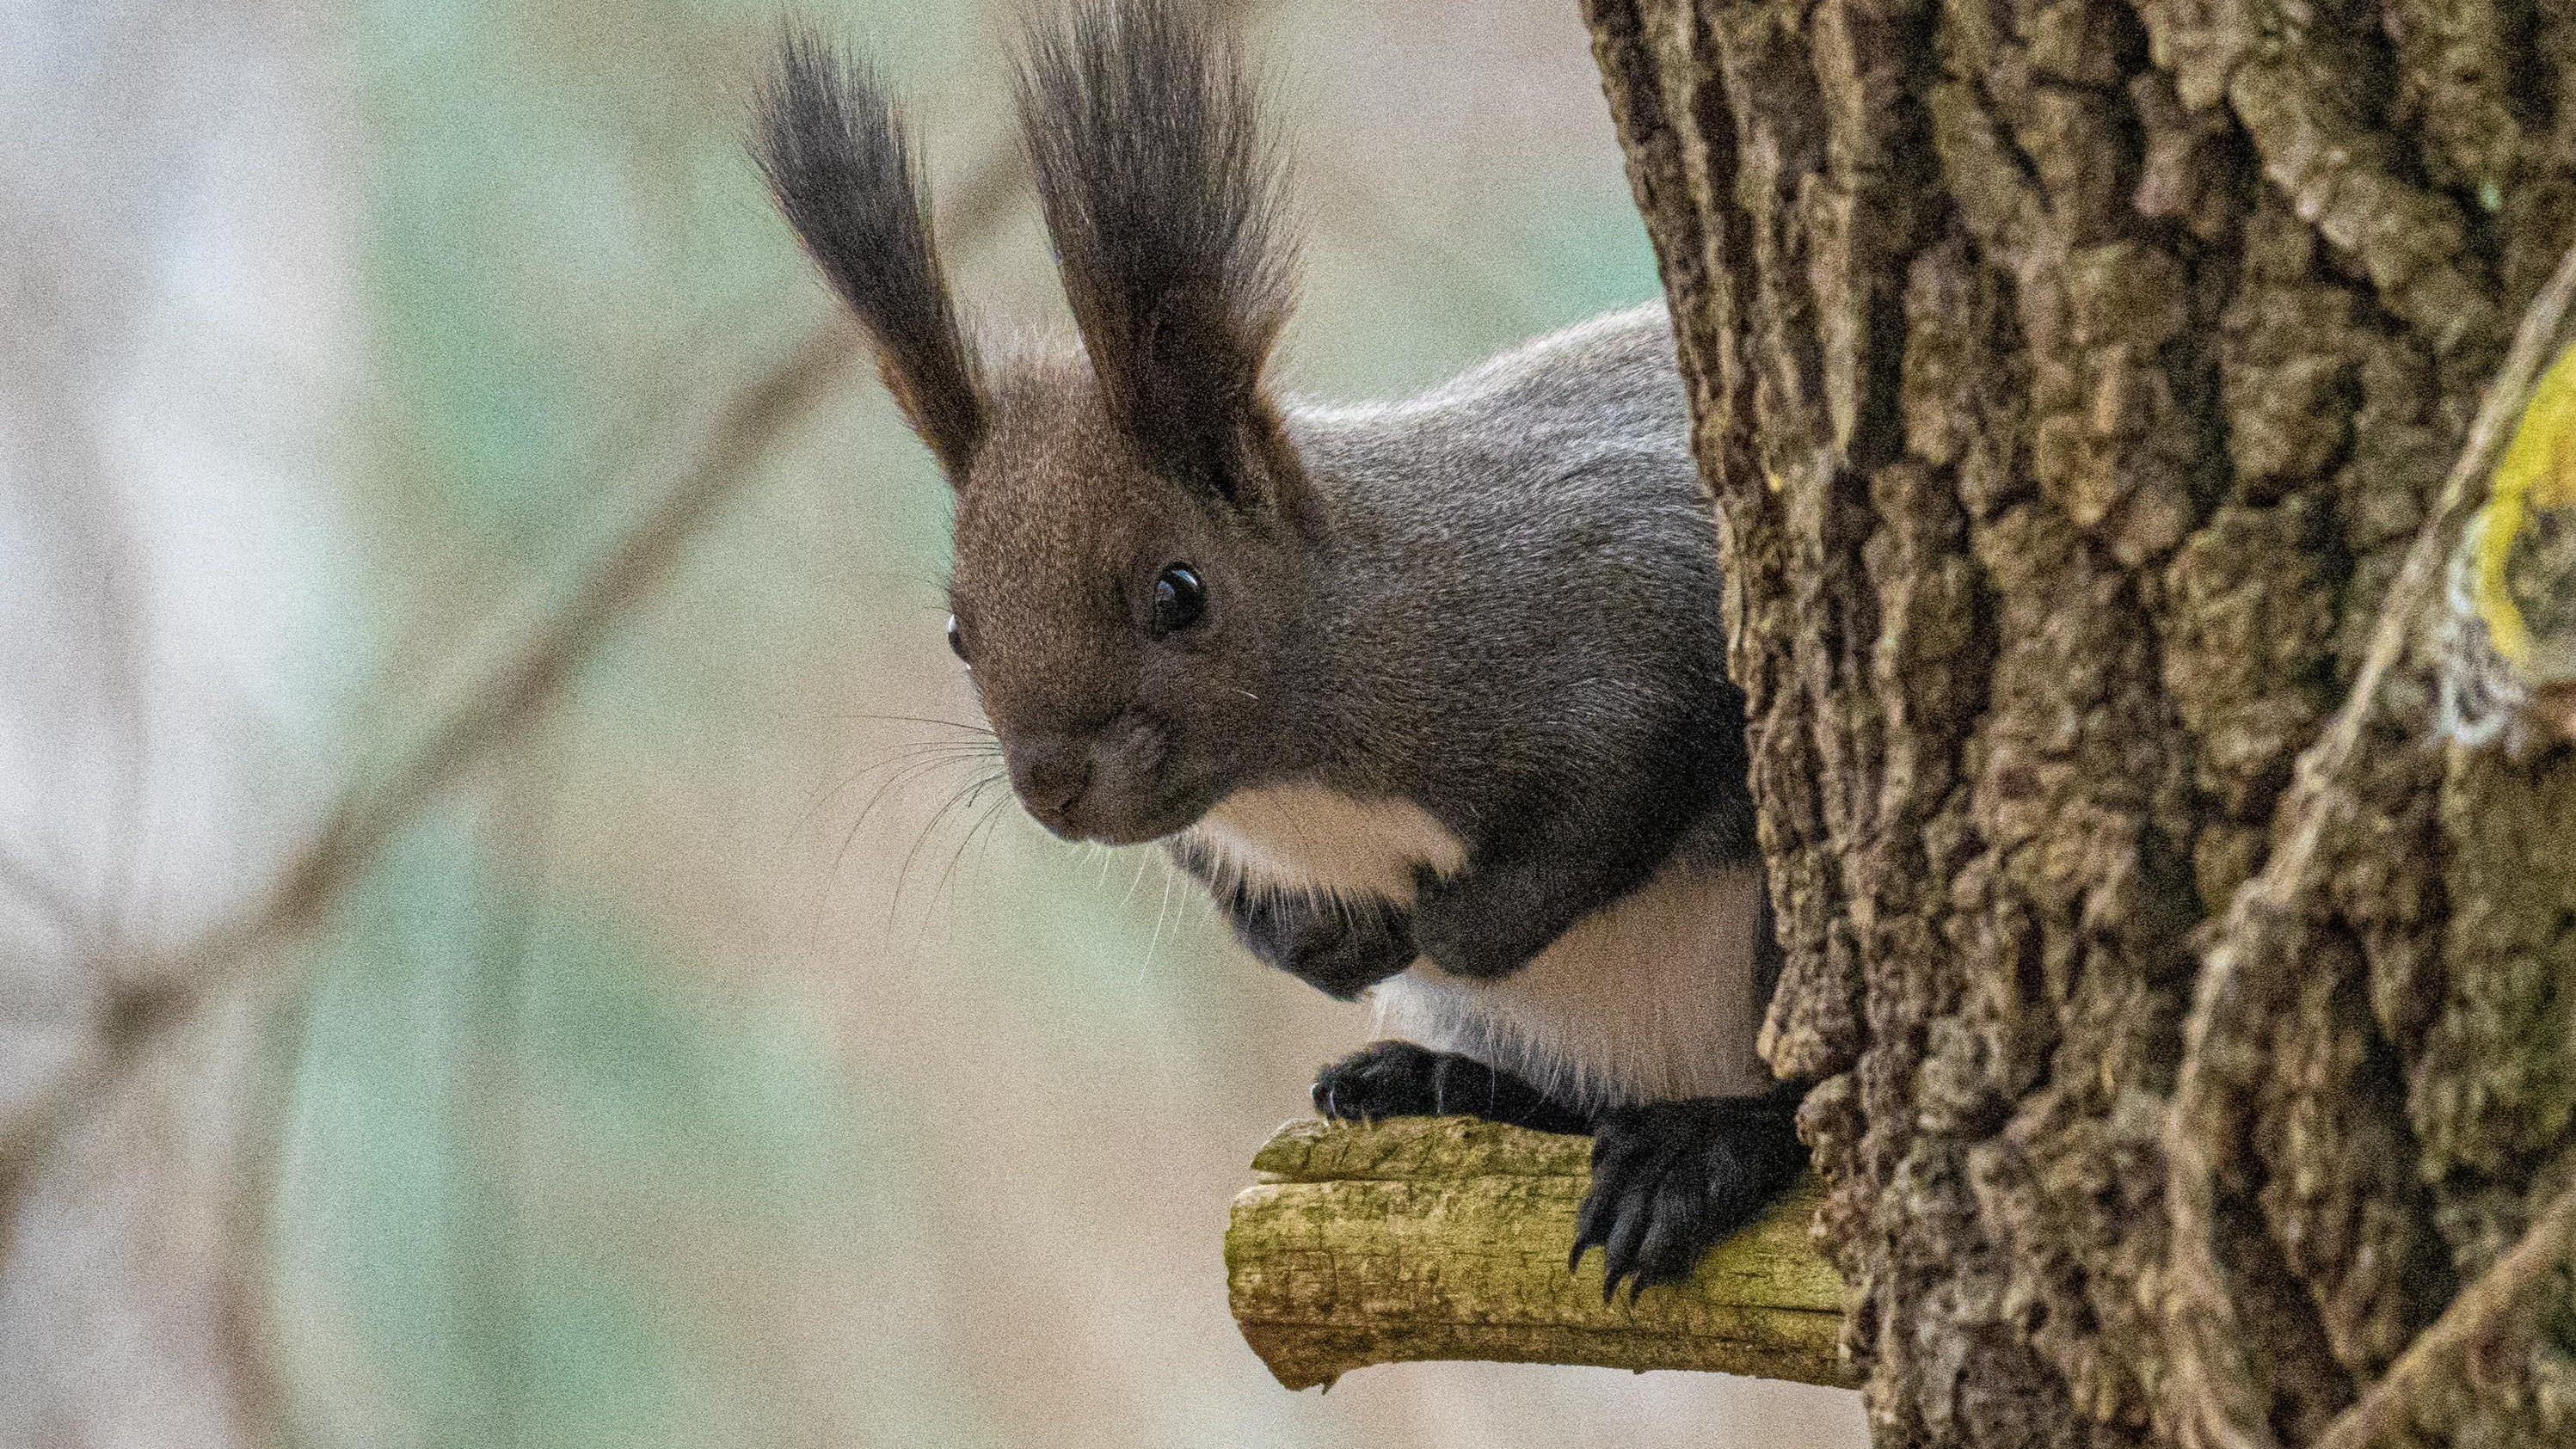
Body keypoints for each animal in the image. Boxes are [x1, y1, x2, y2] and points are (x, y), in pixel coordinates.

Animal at [757, 0, 1813, 1292]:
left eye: (1179, 593)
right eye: (958, 630)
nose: (1050, 786)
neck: (1293, 785)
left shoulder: (1621, 605)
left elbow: (1610, 800)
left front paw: (1435, 928)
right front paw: (1316, 940)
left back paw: (1695, 1149)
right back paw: (1438, 1078)